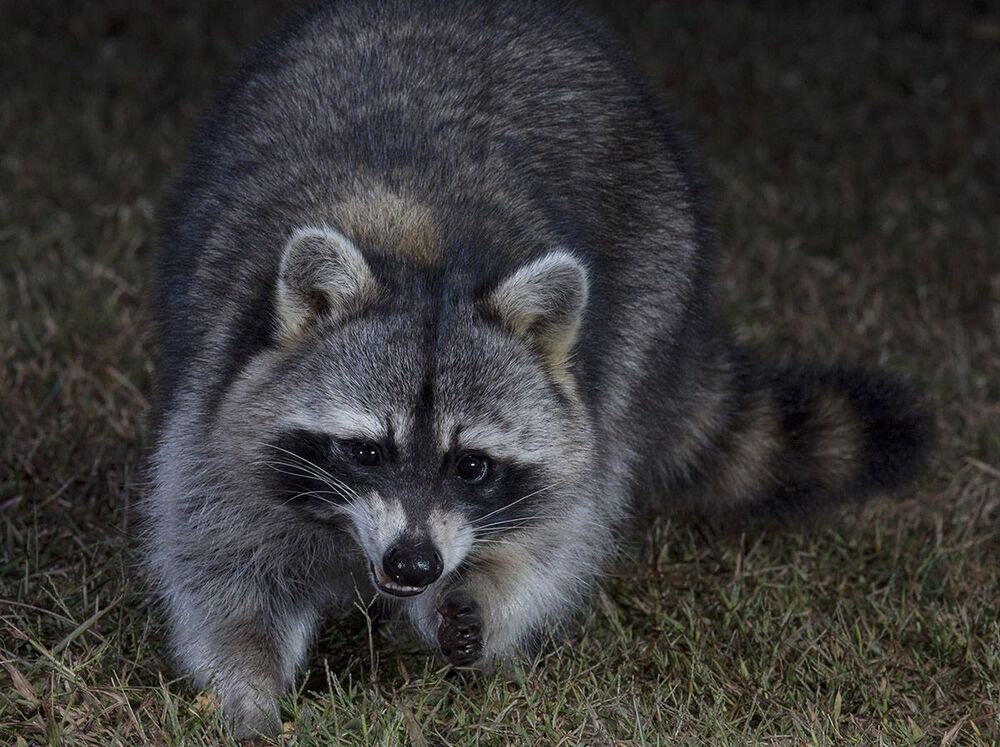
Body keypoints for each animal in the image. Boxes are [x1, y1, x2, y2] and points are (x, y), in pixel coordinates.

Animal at [145, 0, 930, 736]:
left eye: (472, 466)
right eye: (366, 451)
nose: (412, 566)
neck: (425, 251)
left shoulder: (583, 413)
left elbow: (559, 530)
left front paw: (481, 593)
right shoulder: (224, 400)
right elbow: (221, 560)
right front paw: (247, 687)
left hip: (657, 262)